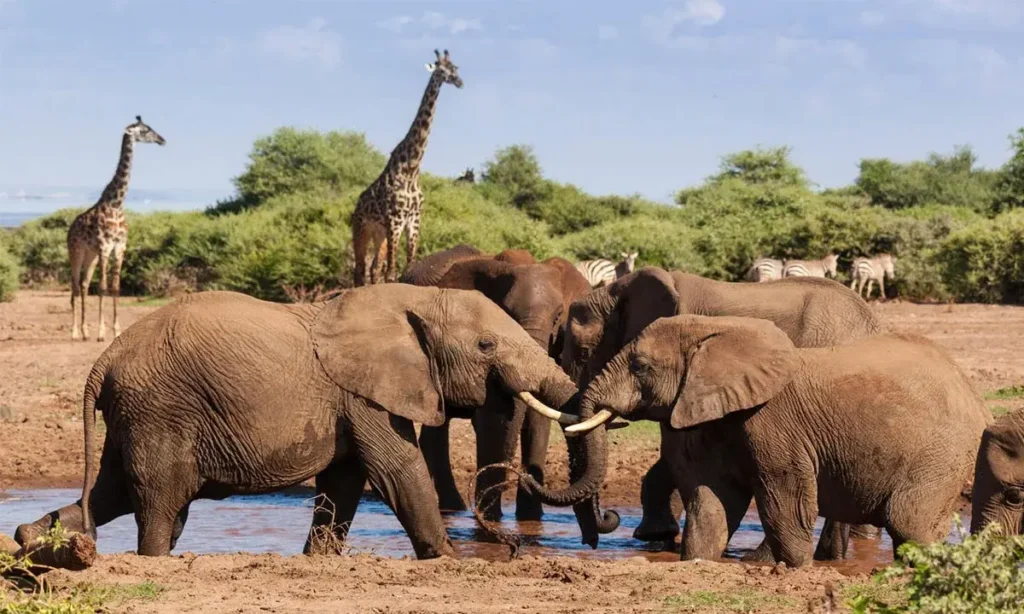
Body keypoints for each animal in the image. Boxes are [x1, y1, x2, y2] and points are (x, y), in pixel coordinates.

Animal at [14, 285, 592, 559]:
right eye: (487, 345)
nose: (511, 546)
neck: (412, 300)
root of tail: (104, 359)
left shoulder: (355, 399)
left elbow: (346, 481)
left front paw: (320, 559)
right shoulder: (364, 394)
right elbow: (396, 469)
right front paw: (453, 559)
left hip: (137, 414)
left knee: (111, 491)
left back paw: (28, 538)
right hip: (158, 408)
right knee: (159, 502)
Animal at [399, 245, 608, 528]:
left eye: (557, 317)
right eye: (507, 314)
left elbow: (538, 417)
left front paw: (530, 519)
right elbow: (494, 415)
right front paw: (490, 520)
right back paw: (454, 508)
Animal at [560, 266, 883, 559]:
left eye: (585, 352)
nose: (606, 521)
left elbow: (677, 450)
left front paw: (655, 535)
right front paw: (657, 538)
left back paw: (762, 559)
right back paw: (833, 556)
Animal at [565, 314, 991, 567]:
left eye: (640, 366)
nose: (608, 518)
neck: (717, 331)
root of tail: (974, 395)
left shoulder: (774, 424)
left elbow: (787, 502)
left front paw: (793, 569)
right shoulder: (718, 421)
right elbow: (712, 502)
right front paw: (699, 563)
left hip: (942, 452)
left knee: (909, 522)